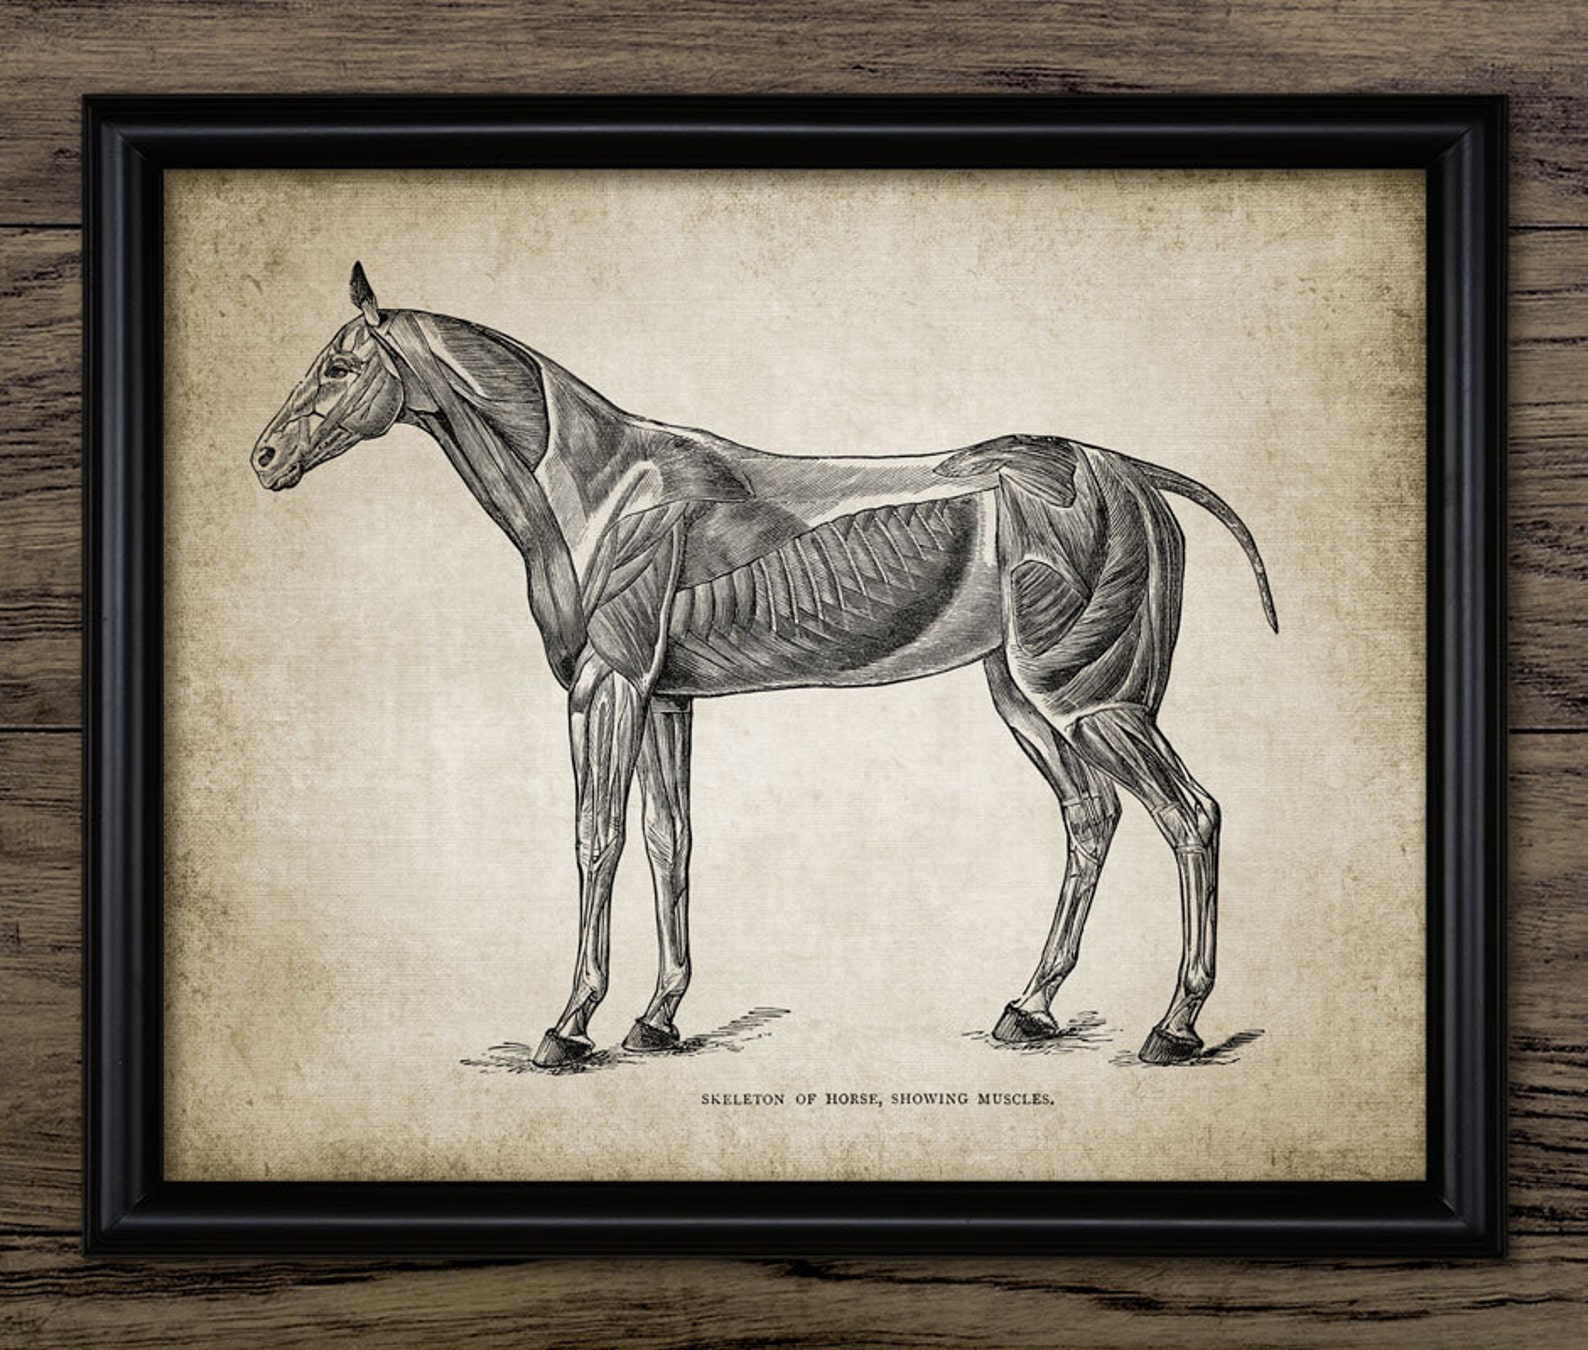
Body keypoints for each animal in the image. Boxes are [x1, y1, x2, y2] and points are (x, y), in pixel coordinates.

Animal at [251, 263, 1278, 1069]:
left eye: (340, 364)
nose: (263, 458)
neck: (598, 488)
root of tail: (1135, 475)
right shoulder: (666, 699)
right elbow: (670, 841)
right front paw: (657, 1019)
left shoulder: (606, 687)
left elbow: (596, 840)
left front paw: (570, 1025)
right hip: (1029, 701)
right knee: (1092, 818)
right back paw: (1030, 1009)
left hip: (1091, 699)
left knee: (1192, 817)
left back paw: (1175, 1026)